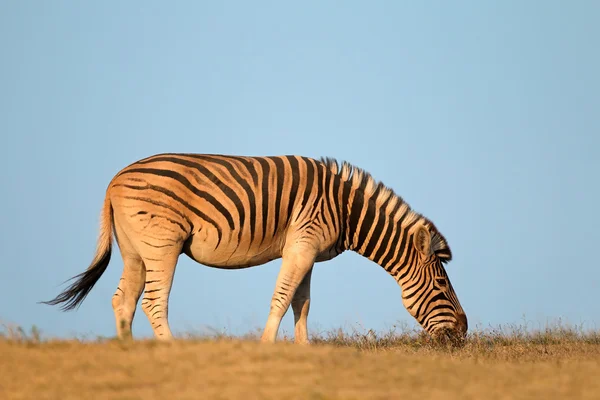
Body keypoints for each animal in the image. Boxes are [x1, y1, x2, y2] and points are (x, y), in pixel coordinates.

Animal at [45, 153, 468, 344]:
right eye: (442, 286)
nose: (464, 331)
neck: (346, 209)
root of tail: (115, 180)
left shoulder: (306, 251)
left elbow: (302, 302)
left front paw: (304, 350)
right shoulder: (303, 241)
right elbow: (282, 298)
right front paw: (267, 348)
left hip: (135, 251)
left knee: (123, 300)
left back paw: (129, 350)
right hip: (162, 245)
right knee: (152, 301)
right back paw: (171, 349)